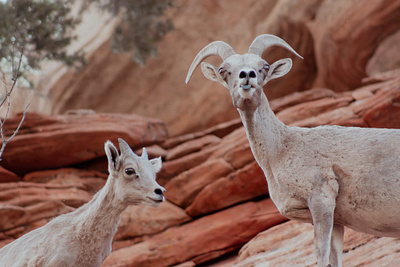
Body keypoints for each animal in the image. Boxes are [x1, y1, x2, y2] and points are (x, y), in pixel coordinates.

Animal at [186, 33, 400, 267]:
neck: (280, 152)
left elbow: (321, 253)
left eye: (264, 66)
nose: (247, 76)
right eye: (223, 70)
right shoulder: (336, 219)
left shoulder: (321, 199)